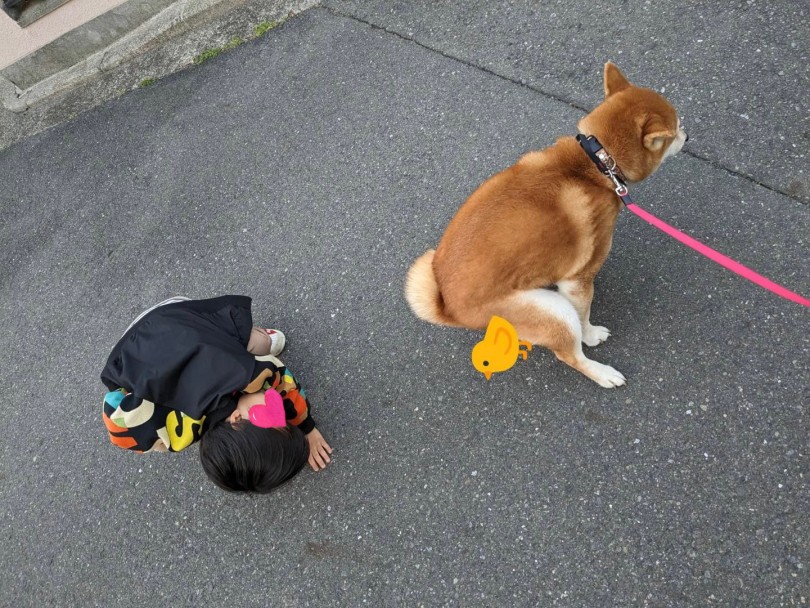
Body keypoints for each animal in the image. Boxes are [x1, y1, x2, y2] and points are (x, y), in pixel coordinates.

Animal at [404, 61, 680, 384]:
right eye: (678, 129)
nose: (689, 137)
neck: (596, 162)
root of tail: (450, 309)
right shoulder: (578, 280)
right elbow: (584, 316)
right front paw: (590, 334)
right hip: (553, 311)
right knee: (570, 355)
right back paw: (602, 373)